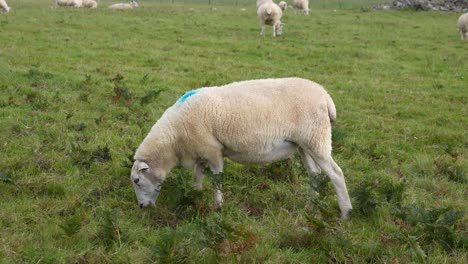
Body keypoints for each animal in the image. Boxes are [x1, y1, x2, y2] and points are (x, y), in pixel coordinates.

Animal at [130, 77, 352, 220]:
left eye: (137, 180)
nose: (141, 207)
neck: (175, 139)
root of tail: (325, 96)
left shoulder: (213, 151)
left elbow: (217, 180)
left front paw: (218, 206)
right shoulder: (201, 151)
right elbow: (198, 176)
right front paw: (195, 195)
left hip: (316, 138)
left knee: (336, 174)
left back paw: (345, 212)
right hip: (304, 144)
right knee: (315, 174)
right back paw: (310, 204)